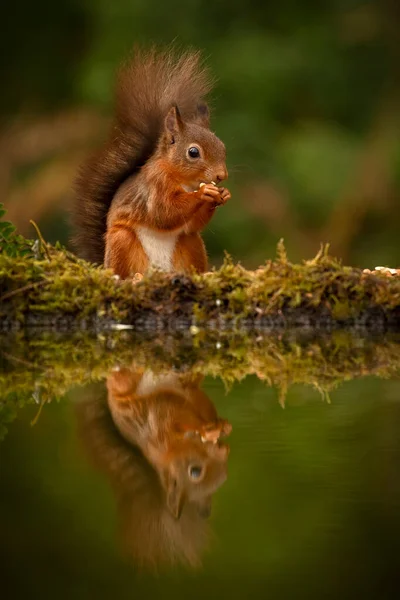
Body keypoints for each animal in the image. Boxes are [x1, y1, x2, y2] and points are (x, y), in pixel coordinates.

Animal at [72, 46, 231, 276]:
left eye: (222, 146)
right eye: (193, 152)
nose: (222, 175)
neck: (184, 180)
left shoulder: (188, 225)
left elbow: (191, 224)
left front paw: (222, 194)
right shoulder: (155, 184)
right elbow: (163, 213)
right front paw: (203, 193)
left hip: (190, 243)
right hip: (121, 240)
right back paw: (134, 278)